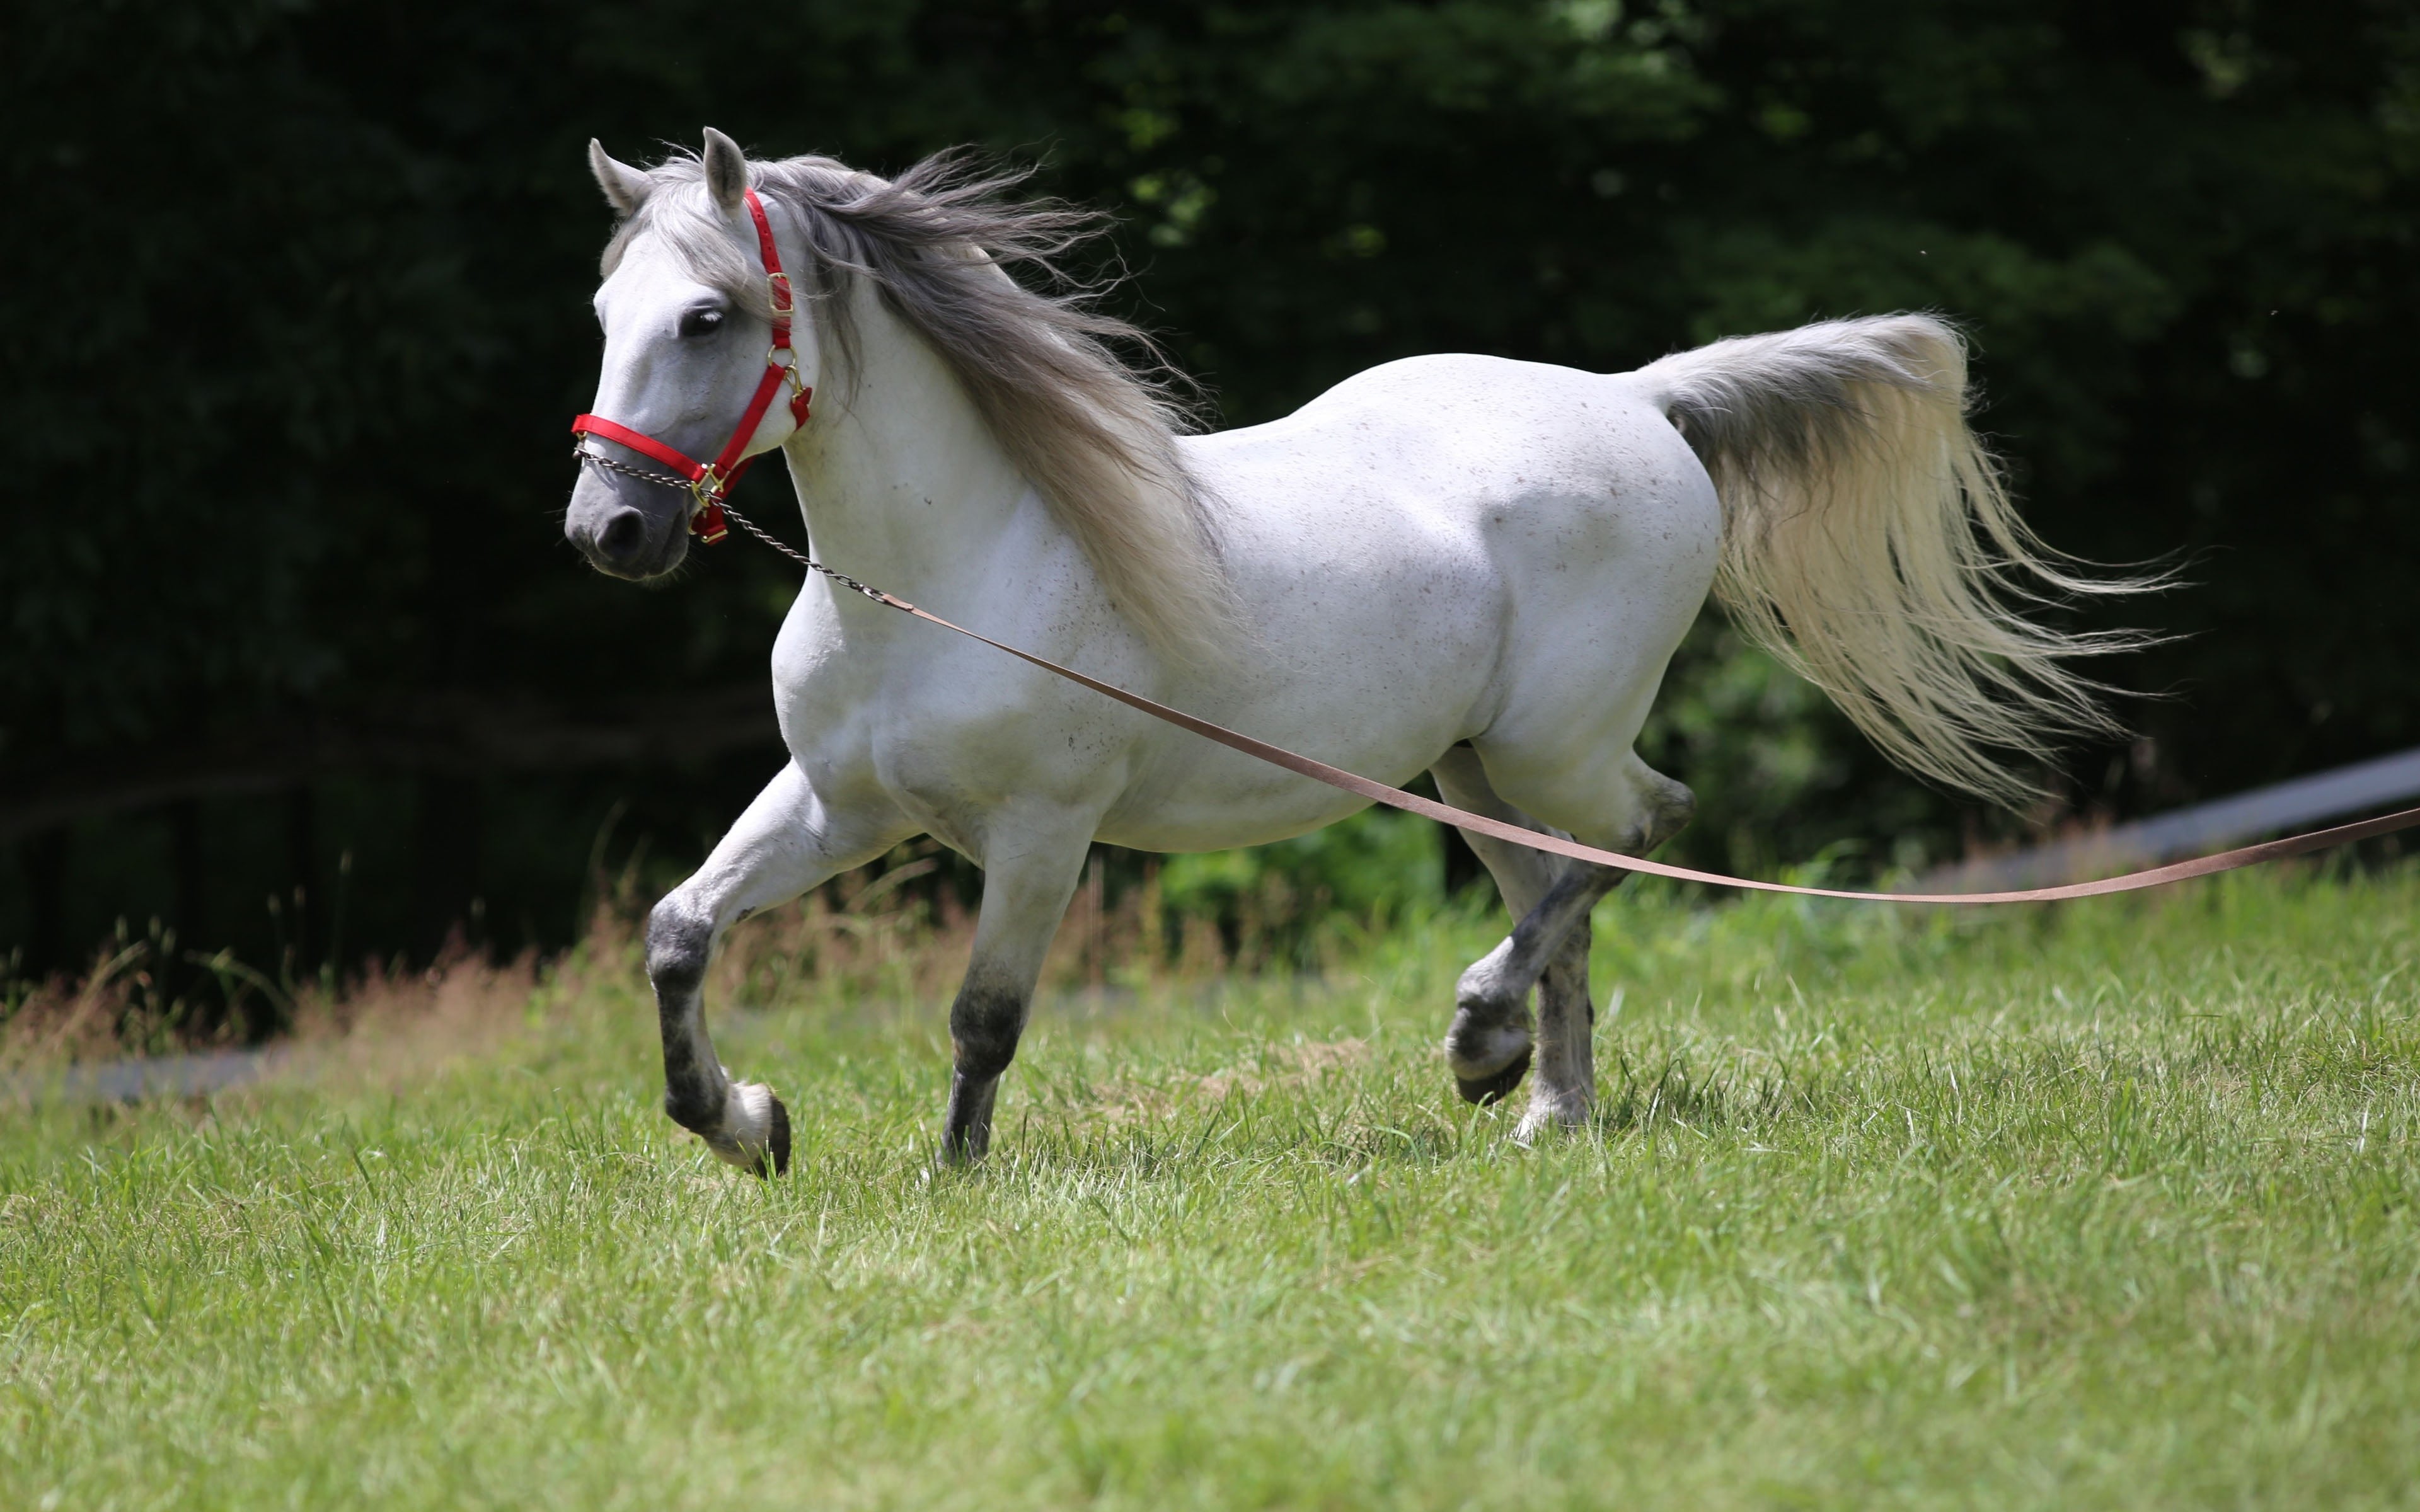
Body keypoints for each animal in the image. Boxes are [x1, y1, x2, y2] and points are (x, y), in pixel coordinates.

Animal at [565, 129, 2137, 1174]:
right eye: (603, 315)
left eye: (708, 317)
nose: (608, 530)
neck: (944, 572)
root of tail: (1639, 399)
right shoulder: (842, 805)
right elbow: (679, 933)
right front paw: (749, 1128)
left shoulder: (1042, 831)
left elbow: (984, 1017)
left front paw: (953, 1187)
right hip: (1474, 768)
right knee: (1569, 889)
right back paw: (1545, 1112)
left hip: (1553, 745)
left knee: (1640, 833)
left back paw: (1480, 1043)